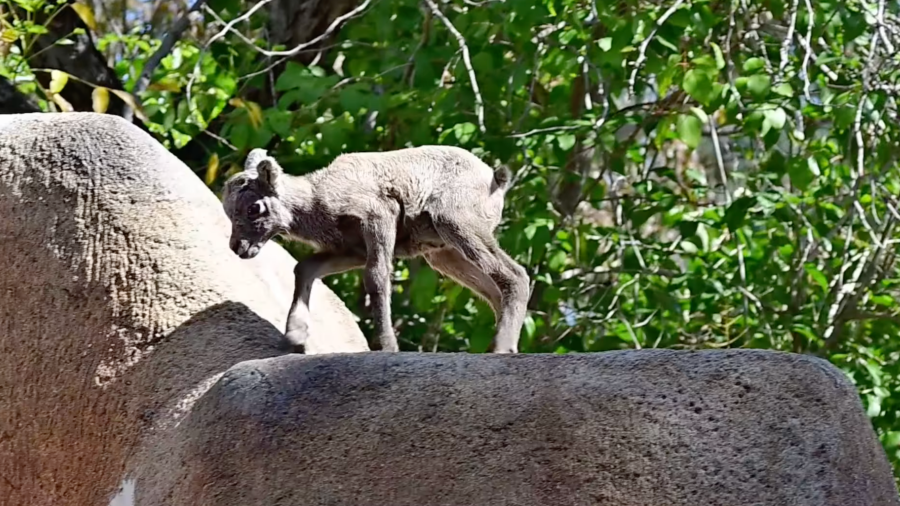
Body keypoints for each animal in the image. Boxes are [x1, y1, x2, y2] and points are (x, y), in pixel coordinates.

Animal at [224, 144, 532, 354]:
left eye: (254, 208)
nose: (238, 247)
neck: (316, 204)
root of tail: (496, 180)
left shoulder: (379, 217)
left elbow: (376, 278)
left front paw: (386, 346)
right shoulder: (350, 251)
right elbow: (304, 268)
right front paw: (294, 338)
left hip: (456, 222)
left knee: (516, 275)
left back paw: (501, 348)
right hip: (443, 253)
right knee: (494, 291)